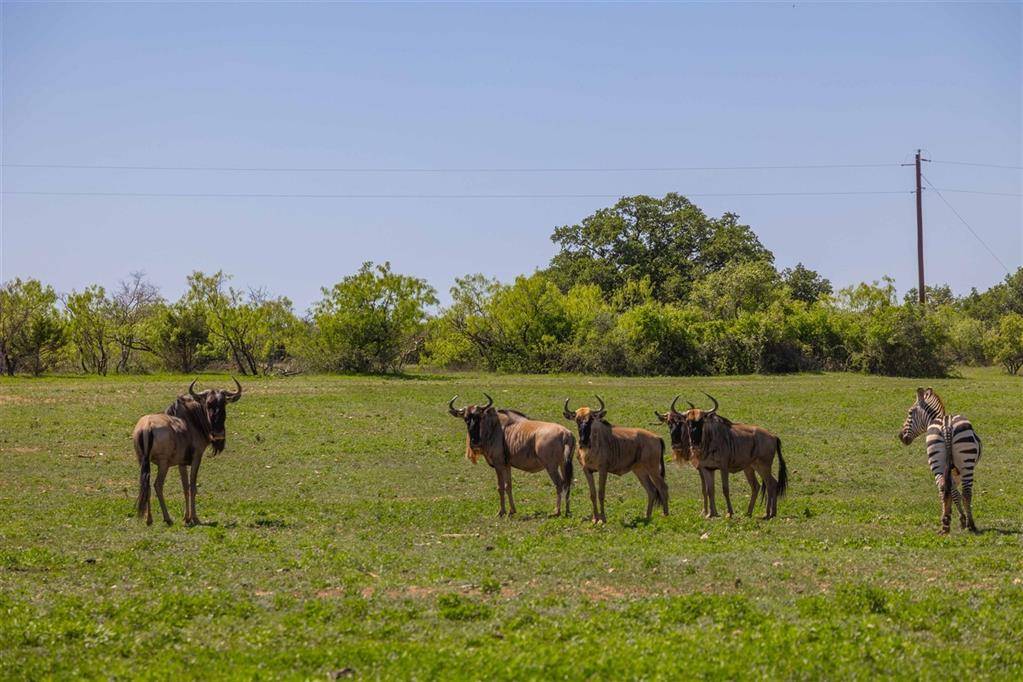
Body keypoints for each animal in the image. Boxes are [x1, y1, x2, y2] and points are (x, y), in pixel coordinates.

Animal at [131, 378, 241, 527]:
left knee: (146, 485)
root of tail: (147, 426)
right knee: (157, 485)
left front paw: (186, 518)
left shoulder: (181, 463)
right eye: (208, 404)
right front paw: (194, 518)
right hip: (163, 464)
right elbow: (192, 486)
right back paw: (167, 518)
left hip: (142, 461)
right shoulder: (196, 458)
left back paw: (149, 519)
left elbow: (184, 487)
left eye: (223, 403)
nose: (218, 434)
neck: (192, 421)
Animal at [448, 394, 576, 517]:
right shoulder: (507, 465)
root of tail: (565, 433)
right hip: (563, 464)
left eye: (479, 417)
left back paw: (557, 511)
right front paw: (512, 511)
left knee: (559, 484)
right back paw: (567, 511)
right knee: (567, 483)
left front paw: (501, 512)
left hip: (551, 466)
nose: (474, 442)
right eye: (465, 419)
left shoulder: (498, 464)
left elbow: (500, 487)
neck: (493, 427)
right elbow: (508, 486)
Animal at [564, 396, 666, 527]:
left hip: (653, 470)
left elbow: (601, 493)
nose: (583, 441)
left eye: (591, 419)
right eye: (577, 419)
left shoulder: (603, 470)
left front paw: (603, 519)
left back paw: (666, 515)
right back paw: (647, 517)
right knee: (652, 491)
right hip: (640, 471)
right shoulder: (587, 470)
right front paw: (595, 519)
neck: (591, 446)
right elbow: (592, 494)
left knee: (663, 488)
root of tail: (657, 437)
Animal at [900, 386, 977, 535]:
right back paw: (970, 524)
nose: (900, 436)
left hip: (937, 461)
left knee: (942, 489)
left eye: (910, 412)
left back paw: (945, 524)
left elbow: (953, 493)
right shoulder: (955, 473)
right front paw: (962, 519)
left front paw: (954, 517)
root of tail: (946, 424)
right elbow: (956, 493)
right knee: (966, 492)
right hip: (966, 465)